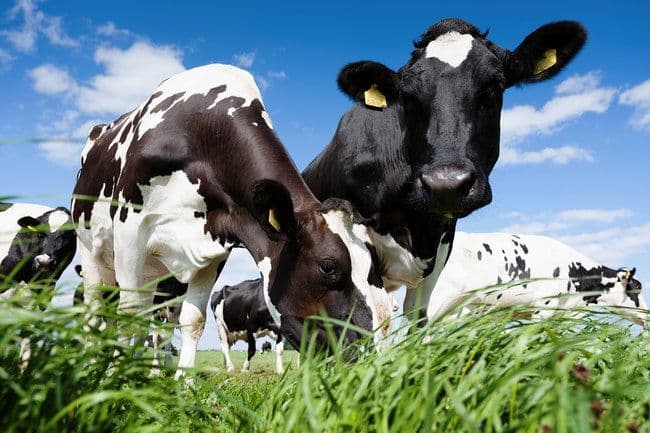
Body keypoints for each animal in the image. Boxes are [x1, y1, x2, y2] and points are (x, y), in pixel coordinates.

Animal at [71, 64, 391, 379]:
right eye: (328, 266)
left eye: (373, 266)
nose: (367, 354)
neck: (204, 132)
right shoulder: (130, 230)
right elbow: (126, 315)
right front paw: (115, 377)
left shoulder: (214, 244)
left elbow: (193, 320)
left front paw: (184, 382)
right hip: (91, 252)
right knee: (96, 314)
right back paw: (93, 366)